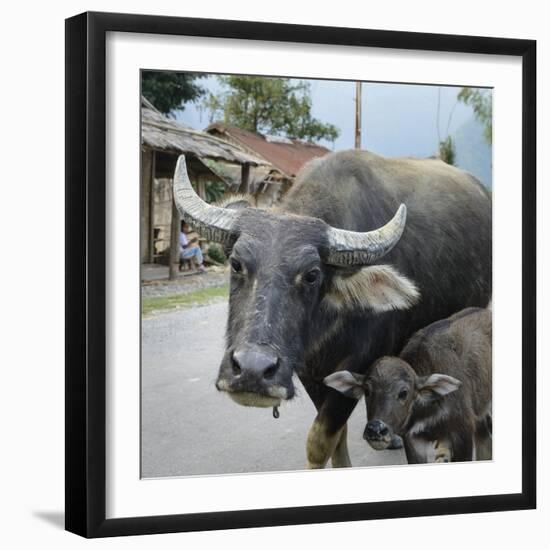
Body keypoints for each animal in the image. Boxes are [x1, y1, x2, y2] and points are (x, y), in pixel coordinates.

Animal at [326, 308, 494, 464]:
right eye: (367, 391)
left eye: (404, 392)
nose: (376, 429)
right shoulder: (413, 439)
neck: (428, 408)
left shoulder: (462, 432)